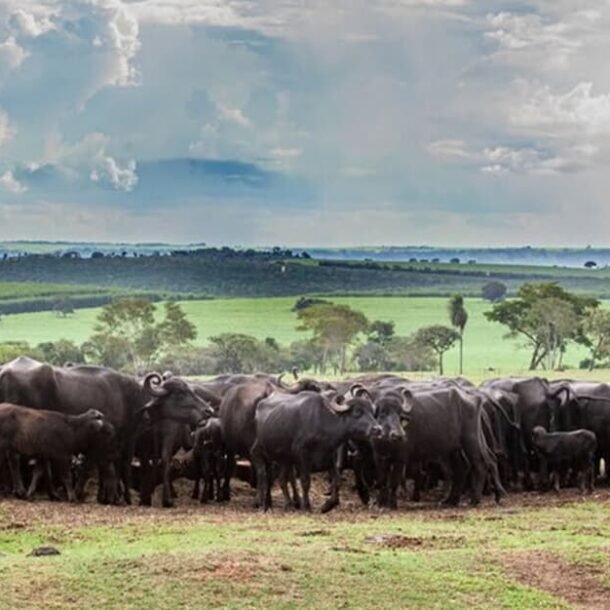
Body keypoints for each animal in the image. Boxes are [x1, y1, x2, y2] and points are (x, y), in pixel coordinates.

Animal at [249, 390, 378, 508]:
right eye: (357, 412)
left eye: (372, 412)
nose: (378, 429)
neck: (322, 423)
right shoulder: (302, 455)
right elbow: (305, 481)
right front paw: (306, 506)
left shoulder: (329, 457)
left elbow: (337, 480)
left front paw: (329, 505)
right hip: (259, 450)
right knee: (262, 472)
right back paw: (262, 502)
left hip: (285, 459)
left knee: (282, 479)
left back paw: (289, 503)